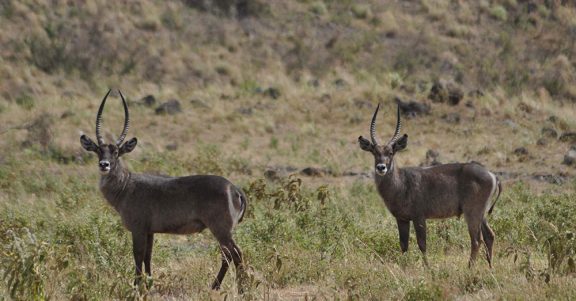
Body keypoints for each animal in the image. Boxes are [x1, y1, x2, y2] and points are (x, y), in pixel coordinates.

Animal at [80, 89, 246, 290]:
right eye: (98, 150)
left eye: (116, 152)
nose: (104, 165)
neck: (126, 186)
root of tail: (234, 188)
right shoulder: (150, 231)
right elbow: (148, 256)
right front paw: (149, 283)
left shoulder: (138, 228)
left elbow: (137, 255)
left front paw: (136, 286)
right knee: (228, 255)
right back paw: (218, 286)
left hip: (221, 229)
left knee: (235, 254)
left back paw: (238, 288)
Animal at [358, 103, 502, 268]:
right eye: (374, 152)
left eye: (391, 152)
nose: (381, 167)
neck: (401, 182)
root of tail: (492, 174)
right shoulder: (402, 219)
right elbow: (403, 245)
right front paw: (404, 267)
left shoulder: (419, 217)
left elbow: (422, 244)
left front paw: (428, 268)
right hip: (481, 214)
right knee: (489, 236)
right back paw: (490, 268)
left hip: (472, 212)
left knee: (477, 240)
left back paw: (470, 268)